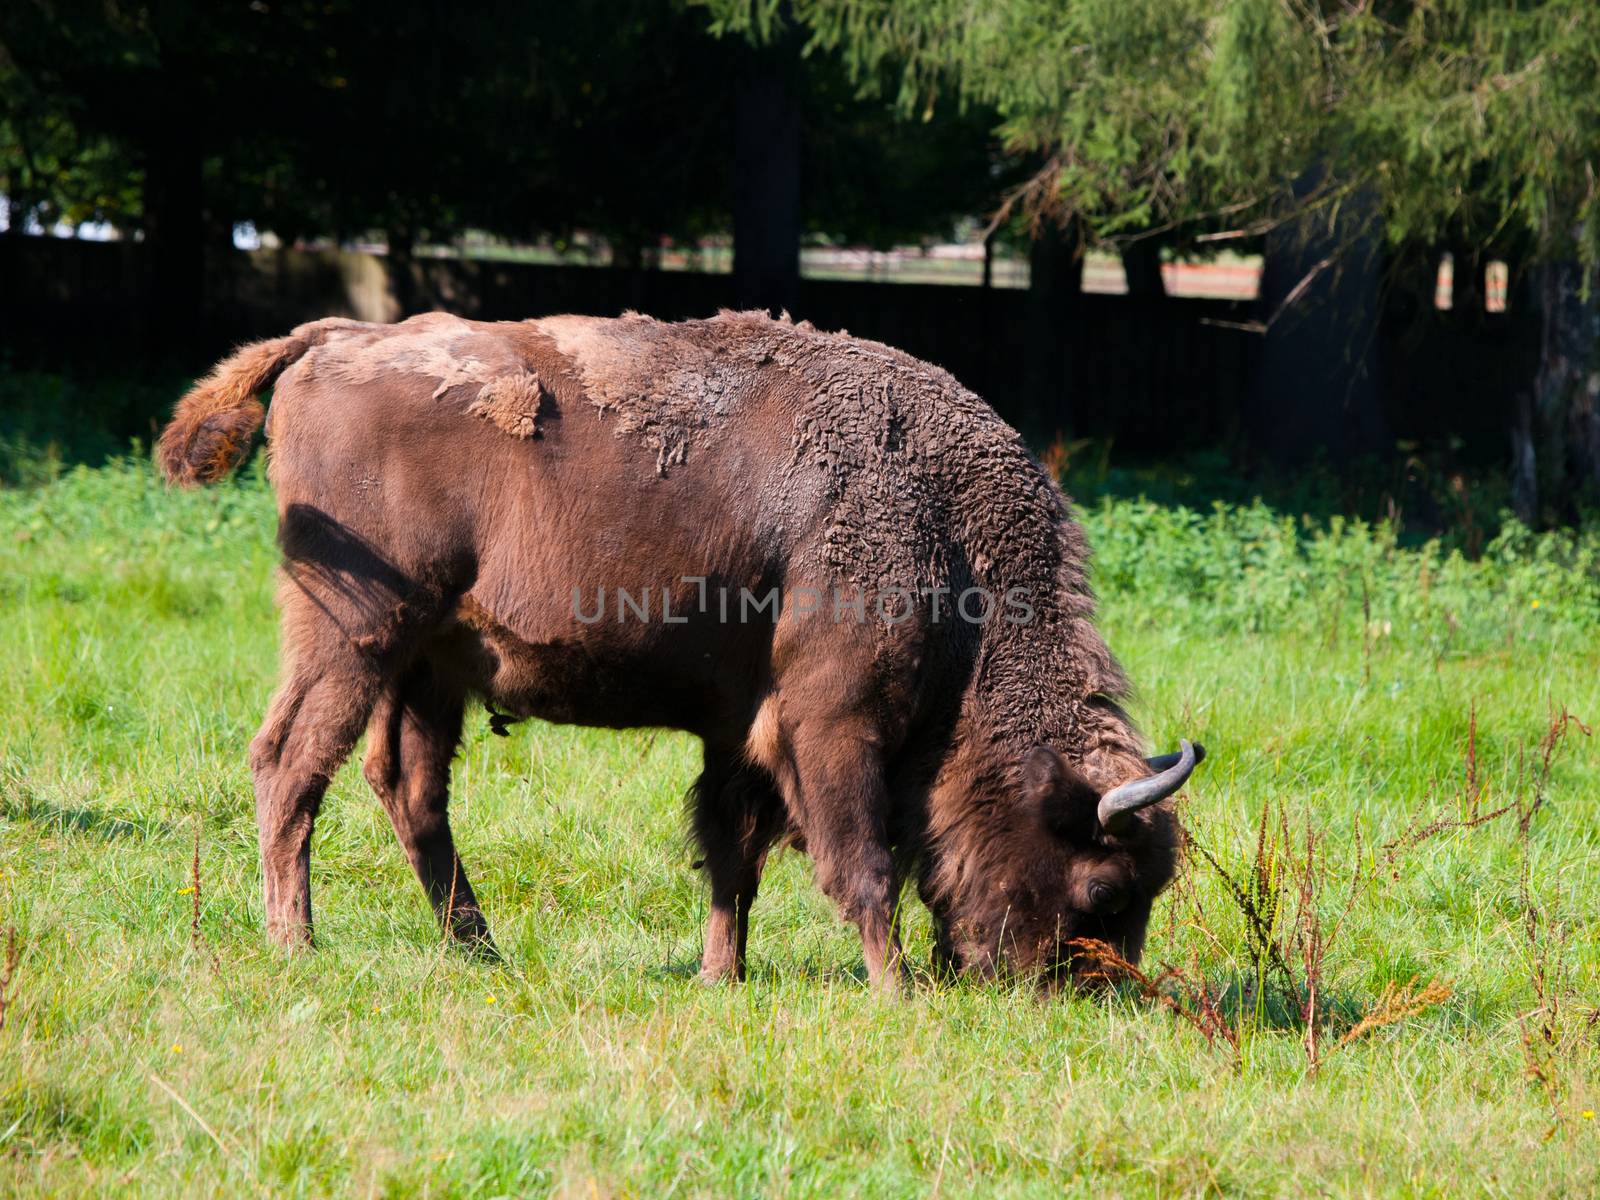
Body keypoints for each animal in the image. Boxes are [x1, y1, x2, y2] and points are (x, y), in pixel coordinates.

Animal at [162, 310, 1203, 998]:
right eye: (1104, 886)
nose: (1089, 996)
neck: (947, 532)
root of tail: (332, 338)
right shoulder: (833, 723)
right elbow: (859, 860)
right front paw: (894, 990)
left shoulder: (741, 732)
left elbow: (731, 855)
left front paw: (720, 977)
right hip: (352, 634)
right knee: (291, 763)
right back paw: (297, 945)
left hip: (428, 668)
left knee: (409, 791)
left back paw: (481, 952)